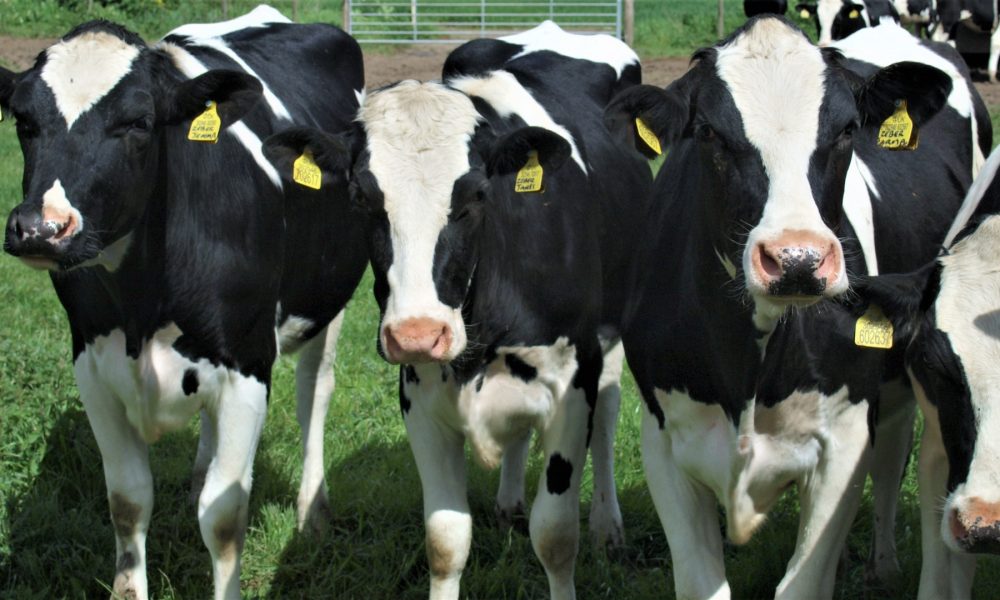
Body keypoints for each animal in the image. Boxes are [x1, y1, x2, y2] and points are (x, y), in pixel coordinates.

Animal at [0, 7, 368, 600]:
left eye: (138, 124)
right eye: (25, 123)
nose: (40, 229)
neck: (142, 303)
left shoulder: (247, 365)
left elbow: (223, 516)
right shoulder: (92, 365)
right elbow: (127, 502)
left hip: (327, 300)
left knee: (315, 393)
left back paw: (313, 514)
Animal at [263, 19, 651, 600]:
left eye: (474, 196)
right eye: (361, 198)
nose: (417, 334)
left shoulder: (572, 384)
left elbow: (556, 536)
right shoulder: (420, 399)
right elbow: (446, 540)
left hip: (612, 335)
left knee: (607, 415)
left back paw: (609, 527)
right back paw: (510, 503)